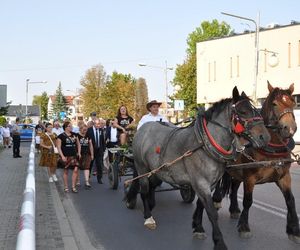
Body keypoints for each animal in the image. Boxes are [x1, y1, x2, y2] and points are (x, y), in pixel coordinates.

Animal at [124, 86, 270, 250]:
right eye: (243, 112)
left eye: (256, 110)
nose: (265, 137)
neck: (204, 144)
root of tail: (143, 128)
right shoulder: (201, 182)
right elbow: (212, 212)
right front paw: (219, 242)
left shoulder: (209, 184)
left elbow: (201, 205)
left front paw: (198, 228)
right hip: (141, 167)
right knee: (144, 190)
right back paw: (148, 216)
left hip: (156, 171)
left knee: (152, 186)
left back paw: (150, 204)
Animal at [212, 81, 298, 243]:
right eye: (275, 104)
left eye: (293, 102)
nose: (289, 129)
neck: (271, 148)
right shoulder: (249, 177)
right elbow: (248, 201)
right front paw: (244, 227)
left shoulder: (284, 176)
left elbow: (290, 200)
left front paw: (294, 229)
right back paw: (216, 199)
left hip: (237, 171)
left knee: (234, 187)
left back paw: (234, 209)